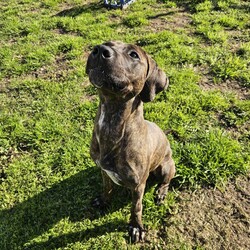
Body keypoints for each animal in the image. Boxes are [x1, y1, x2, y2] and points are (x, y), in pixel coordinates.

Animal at [86, 41, 176, 242]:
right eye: (107, 43)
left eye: (134, 55)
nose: (99, 50)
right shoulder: (104, 171)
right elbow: (107, 188)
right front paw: (103, 201)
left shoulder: (138, 185)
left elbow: (136, 208)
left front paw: (135, 227)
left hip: (167, 166)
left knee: (166, 181)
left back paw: (161, 192)